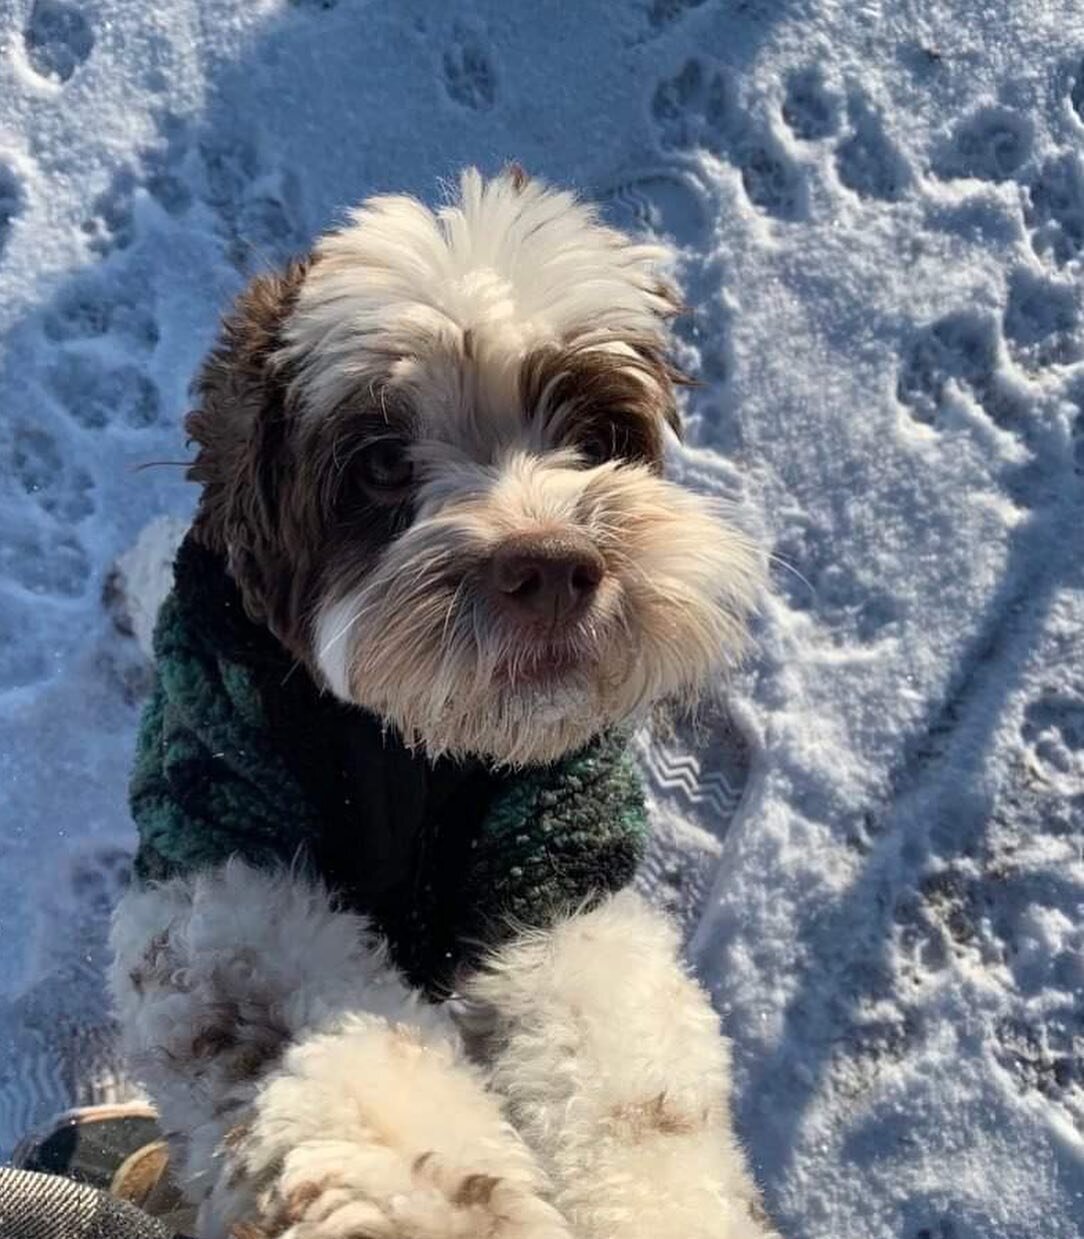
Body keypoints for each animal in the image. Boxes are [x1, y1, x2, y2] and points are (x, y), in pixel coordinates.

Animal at [108, 167, 773, 1239]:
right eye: (381, 461)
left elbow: (627, 1085)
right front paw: (435, 1204)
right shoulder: (220, 853)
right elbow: (336, 1063)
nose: (552, 566)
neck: (412, 744)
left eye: (596, 433)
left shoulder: (557, 867)